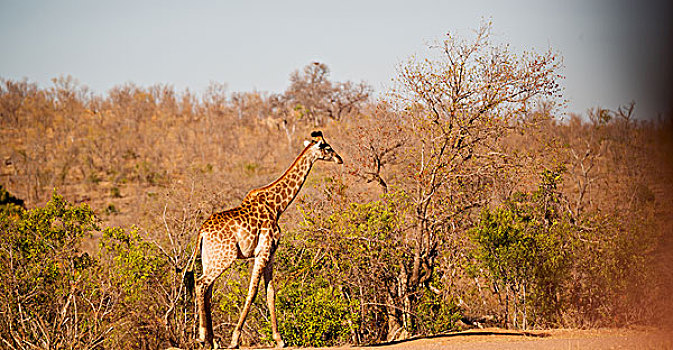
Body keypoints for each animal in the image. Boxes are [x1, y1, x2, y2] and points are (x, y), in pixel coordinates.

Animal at [189, 131, 344, 348]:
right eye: (328, 148)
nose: (340, 159)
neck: (277, 206)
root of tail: (202, 232)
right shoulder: (263, 251)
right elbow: (252, 292)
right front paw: (235, 339)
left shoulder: (270, 253)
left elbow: (270, 293)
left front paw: (279, 339)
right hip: (224, 258)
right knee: (201, 284)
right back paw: (205, 338)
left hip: (209, 258)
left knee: (207, 289)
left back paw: (212, 340)